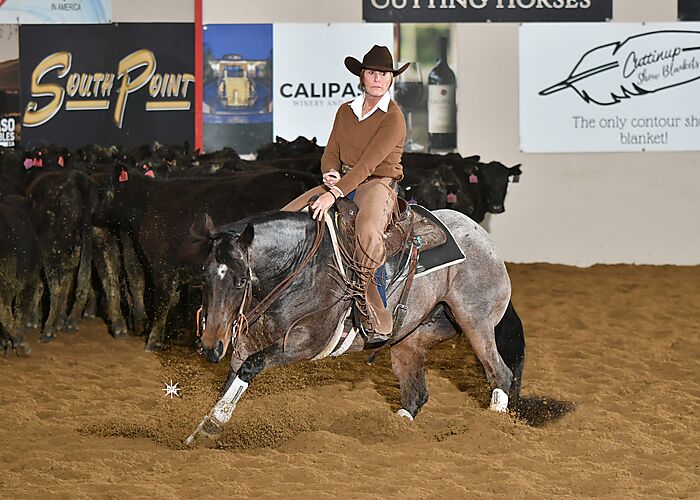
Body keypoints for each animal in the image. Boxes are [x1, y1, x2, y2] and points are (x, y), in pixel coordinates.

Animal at [183, 207, 525, 444]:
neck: (300, 267)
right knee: (415, 394)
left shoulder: (305, 341)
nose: (211, 346)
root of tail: (484, 238)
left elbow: (250, 368)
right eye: (204, 277)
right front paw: (203, 430)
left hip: (475, 324)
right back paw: (394, 427)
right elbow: (233, 378)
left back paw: (490, 430)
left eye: (241, 280)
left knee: (500, 374)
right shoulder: (246, 342)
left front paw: (211, 425)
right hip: (410, 340)